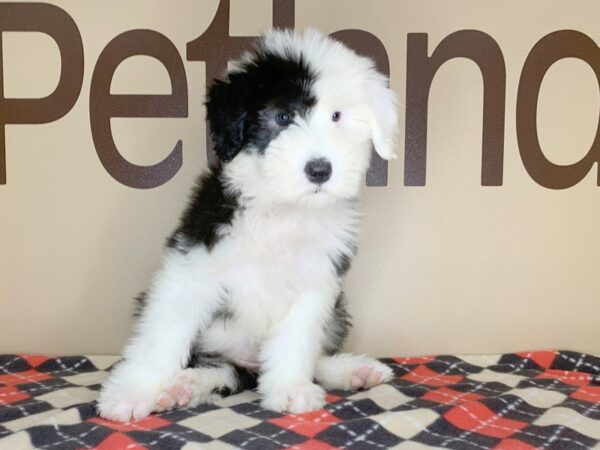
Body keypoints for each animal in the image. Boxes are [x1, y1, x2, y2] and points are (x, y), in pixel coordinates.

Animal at [97, 28, 398, 422]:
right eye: (283, 117)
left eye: (336, 116)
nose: (320, 169)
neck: (282, 208)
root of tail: (250, 364)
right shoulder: (192, 265)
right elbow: (163, 334)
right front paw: (133, 392)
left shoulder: (317, 281)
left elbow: (297, 339)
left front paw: (289, 389)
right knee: (219, 366)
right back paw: (183, 386)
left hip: (336, 312)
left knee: (306, 358)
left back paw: (352, 370)